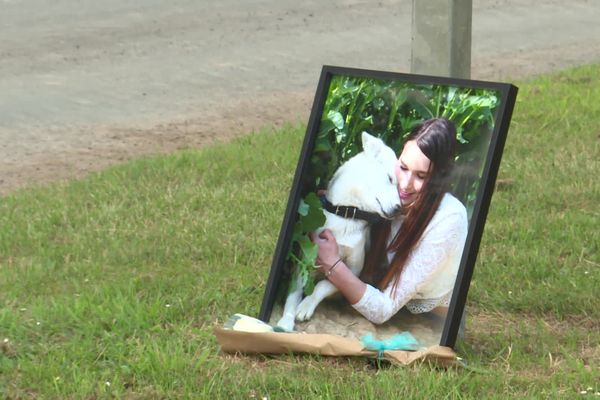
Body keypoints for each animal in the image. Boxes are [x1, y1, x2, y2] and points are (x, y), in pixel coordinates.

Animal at [278, 131, 400, 332]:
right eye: (391, 179)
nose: (400, 209)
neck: (347, 214)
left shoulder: (353, 272)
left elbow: (324, 284)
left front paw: (306, 305)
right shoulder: (305, 260)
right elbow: (294, 292)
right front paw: (285, 320)